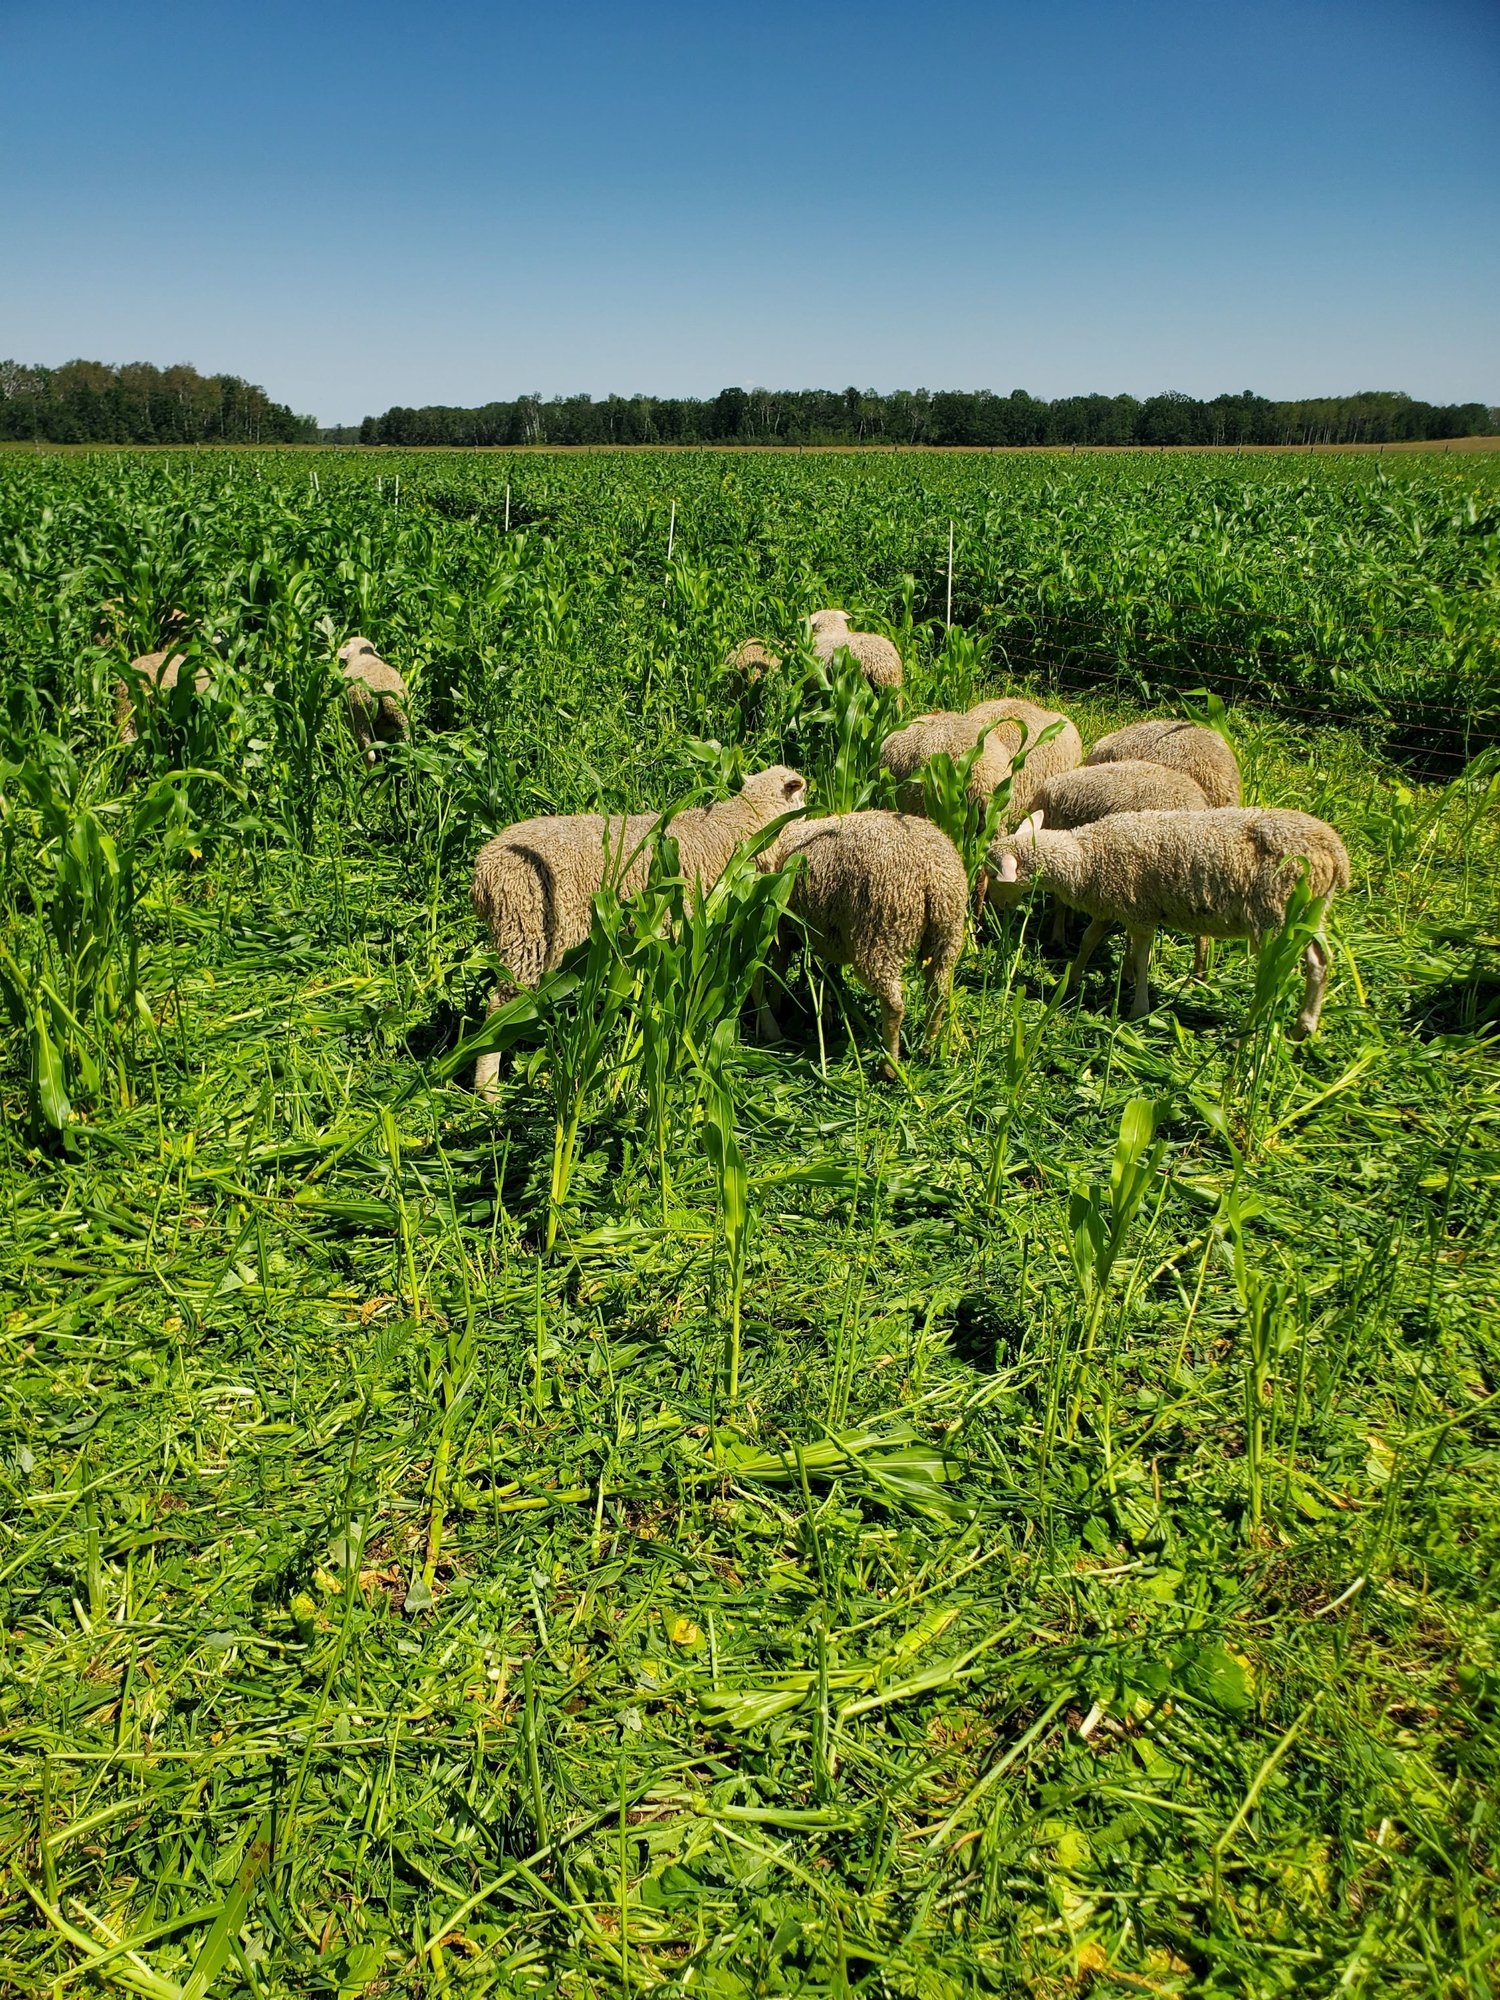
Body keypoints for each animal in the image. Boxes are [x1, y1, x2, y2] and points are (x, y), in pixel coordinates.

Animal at [471, 765, 807, 1098]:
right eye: (803, 794)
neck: (743, 824)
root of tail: (483, 873)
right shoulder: (734, 920)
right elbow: (753, 980)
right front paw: (772, 1030)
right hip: (532, 934)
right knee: (498, 1008)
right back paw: (489, 1091)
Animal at [757, 810, 967, 1077]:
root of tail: (931, 875)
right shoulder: (824, 931)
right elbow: (823, 970)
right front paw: (826, 1007)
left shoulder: (782, 923)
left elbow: (779, 964)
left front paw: (776, 1005)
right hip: (947, 933)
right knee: (937, 990)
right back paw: (928, 1045)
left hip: (880, 933)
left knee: (894, 1004)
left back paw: (889, 1066)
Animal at [985, 806, 1350, 1036]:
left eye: (992, 873)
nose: (991, 903)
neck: (1088, 857)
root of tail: (1336, 853)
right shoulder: (1110, 905)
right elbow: (1089, 939)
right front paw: (1071, 979)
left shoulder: (1139, 912)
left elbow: (1141, 957)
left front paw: (1139, 1008)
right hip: (1308, 912)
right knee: (1320, 961)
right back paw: (1305, 1025)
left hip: (1274, 915)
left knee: (1276, 973)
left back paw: (1249, 1029)